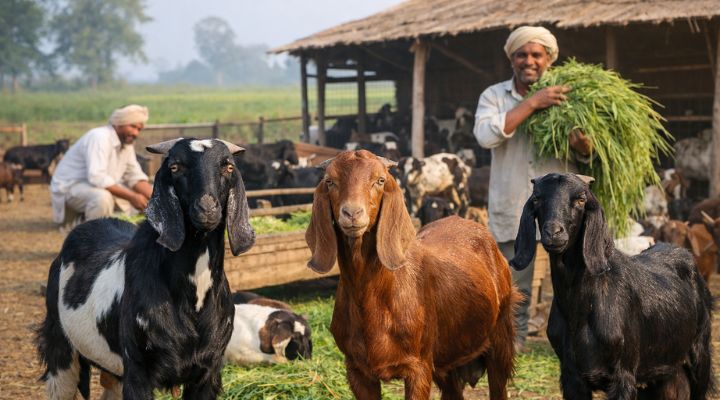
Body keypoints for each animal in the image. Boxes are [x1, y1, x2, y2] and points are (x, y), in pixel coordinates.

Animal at [36, 138, 256, 400]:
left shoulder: (208, 370)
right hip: (60, 344)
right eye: (175, 167)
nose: (207, 209)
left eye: (229, 167)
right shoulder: (138, 368)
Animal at [306, 150, 520, 399]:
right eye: (330, 181)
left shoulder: (419, 367)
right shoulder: (357, 370)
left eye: (380, 180)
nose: (352, 213)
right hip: (447, 359)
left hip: (500, 338)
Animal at [511, 173, 714, 400]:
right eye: (537, 199)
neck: (579, 311)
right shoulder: (571, 376)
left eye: (581, 199)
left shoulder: (623, 375)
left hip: (700, 354)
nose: (553, 232)